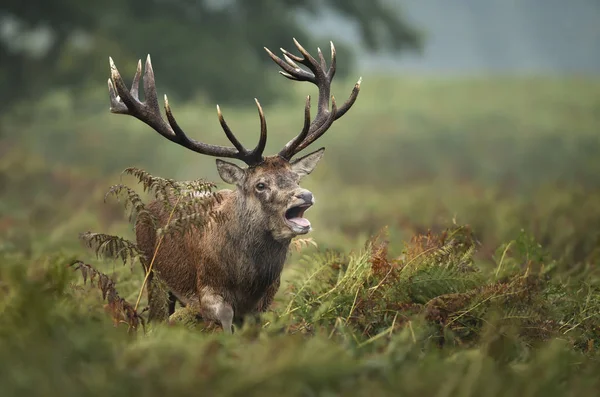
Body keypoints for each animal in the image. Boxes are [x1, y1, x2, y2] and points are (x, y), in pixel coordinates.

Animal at [107, 38, 360, 332]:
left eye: (296, 178)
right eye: (260, 185)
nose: (305, 195)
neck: (246, 282)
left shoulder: (265, 300)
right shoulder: (207, 291)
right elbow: (223, 323)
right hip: (152, 273)